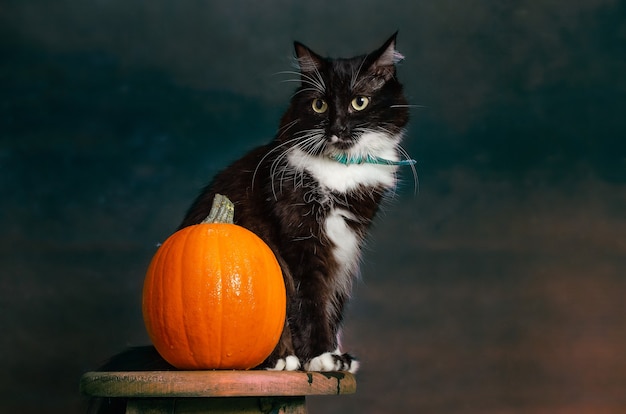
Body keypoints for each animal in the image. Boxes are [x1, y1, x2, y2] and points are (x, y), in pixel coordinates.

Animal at [176, 32, 412, 374]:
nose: (337, 128)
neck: (340, 173)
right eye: (319, 105)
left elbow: (331, 304)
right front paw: (320, 357)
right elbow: (309, 301)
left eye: (360, 102)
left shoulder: (346, 247)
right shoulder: (300, 241)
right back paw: (280, 359)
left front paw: (336, 357)